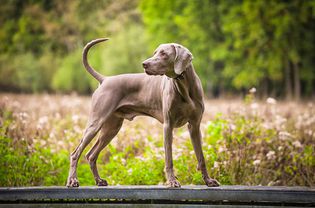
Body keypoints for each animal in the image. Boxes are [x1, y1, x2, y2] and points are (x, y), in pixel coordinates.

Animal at [66, 38, 220, 188]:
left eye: (164, 53)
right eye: (155, 52)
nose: (144, 64)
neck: (184, 85)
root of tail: (105, 79)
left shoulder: (195, 125)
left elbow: (201, 157)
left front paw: (208, 181)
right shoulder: (168, 125)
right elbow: (169, 158)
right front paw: (172, 181)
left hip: (111, 128)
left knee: (91, 155)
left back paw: (99, 180)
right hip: (96, 122)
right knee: (75, 153)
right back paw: (73, 181)